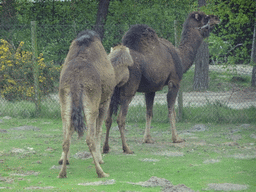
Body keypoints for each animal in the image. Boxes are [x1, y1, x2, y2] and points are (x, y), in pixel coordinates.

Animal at [57, 30, 133, 178]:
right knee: (89, 138)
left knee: (65, 137)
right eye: (129, 65)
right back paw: (101, 172)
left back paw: (62, 172)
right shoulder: (104, 102)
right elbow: (99, 130)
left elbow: (70, 130)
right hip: (91, 99)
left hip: (64, 99)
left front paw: (64, 159)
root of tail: (76, 80)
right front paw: (100, 158)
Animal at [103, 11, 219, 154]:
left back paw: (106, 148)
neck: (180, 58)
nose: (217, 18)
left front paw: (147, 139)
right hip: (128, 90)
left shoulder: (150, 89)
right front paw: (177, 138)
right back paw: (127, 148)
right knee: (121, 118)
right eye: (206, 17)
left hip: (110, 91)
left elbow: (149, 113)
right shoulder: (174, 82)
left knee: (108, 119)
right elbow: (171, 111)